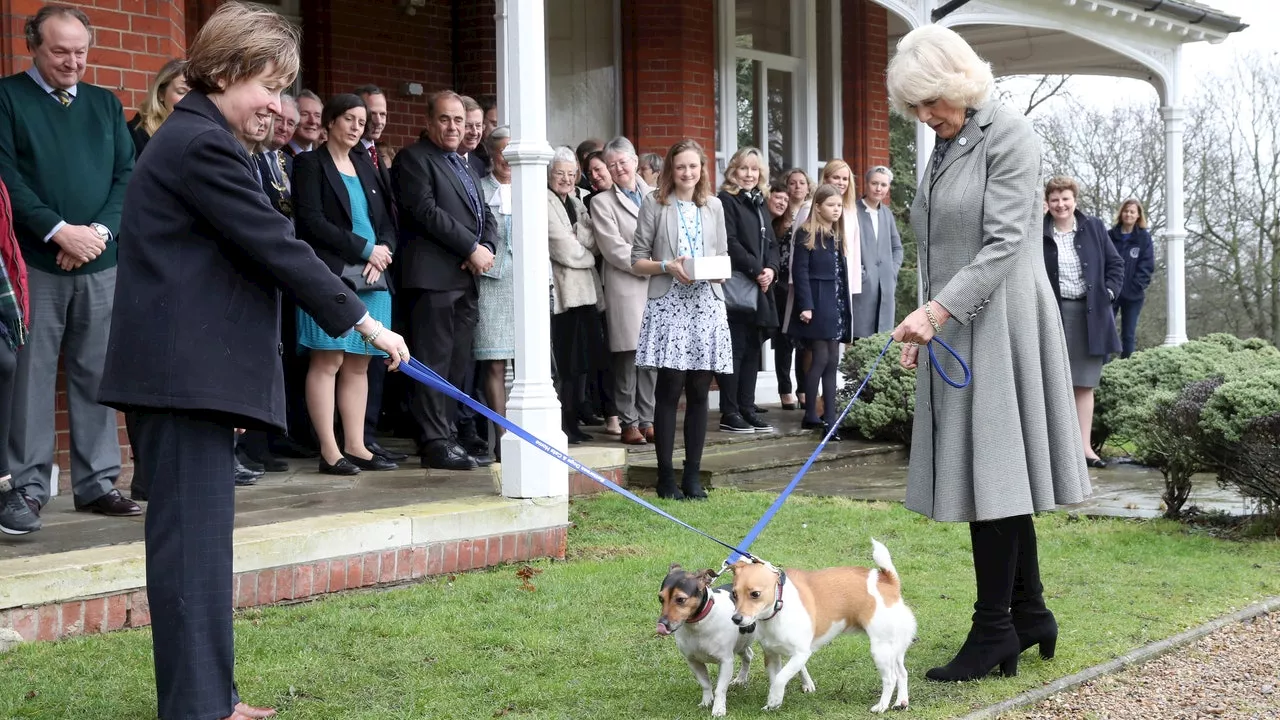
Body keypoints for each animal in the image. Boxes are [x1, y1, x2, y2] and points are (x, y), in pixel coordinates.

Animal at [727, 540, 916, 707]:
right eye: (734, 594)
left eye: (755, 594)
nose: (736, 619)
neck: (779, 607)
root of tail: (888, 581)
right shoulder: (772, 654)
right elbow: (776, 679)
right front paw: (774, 701)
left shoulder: (801, 653)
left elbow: (781, 678)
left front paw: (774, 700)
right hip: (893, 648)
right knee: (902, 673)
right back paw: (900, 702)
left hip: (880, 649)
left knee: (890, 678)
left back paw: (881, 706)